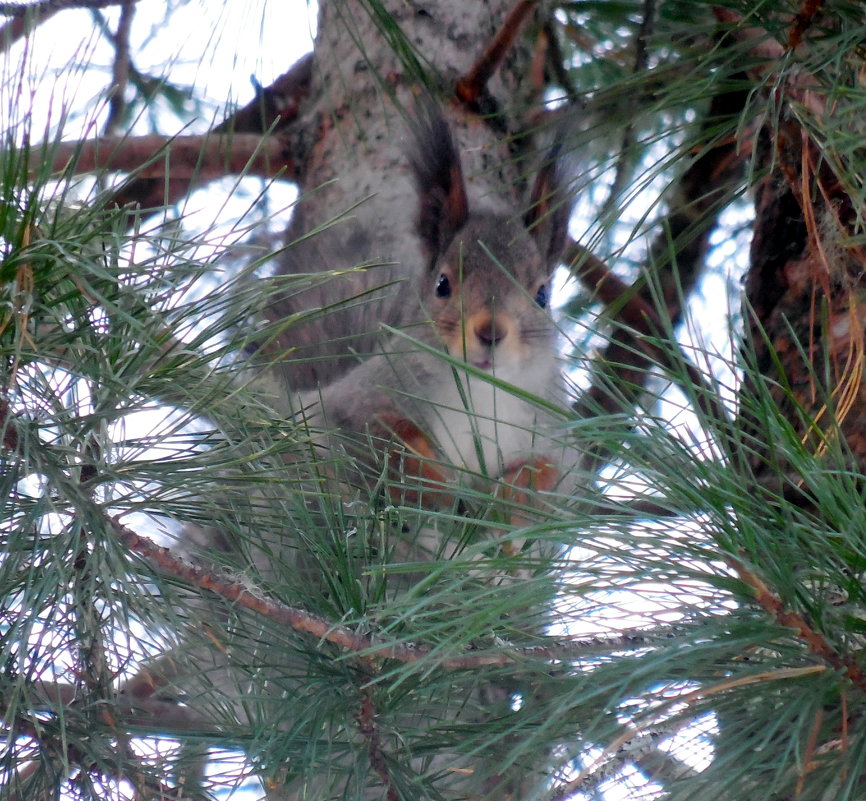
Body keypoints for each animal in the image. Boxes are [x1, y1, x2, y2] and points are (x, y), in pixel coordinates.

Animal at [292, 104, 580, 506]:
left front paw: (506, 504)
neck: (481, 394)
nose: (490, 332)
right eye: (442, 284)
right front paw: (438, 488)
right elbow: (387, 440)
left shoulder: (555, 442)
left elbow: (541, 479)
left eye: (542, 295)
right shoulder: (357, 402)